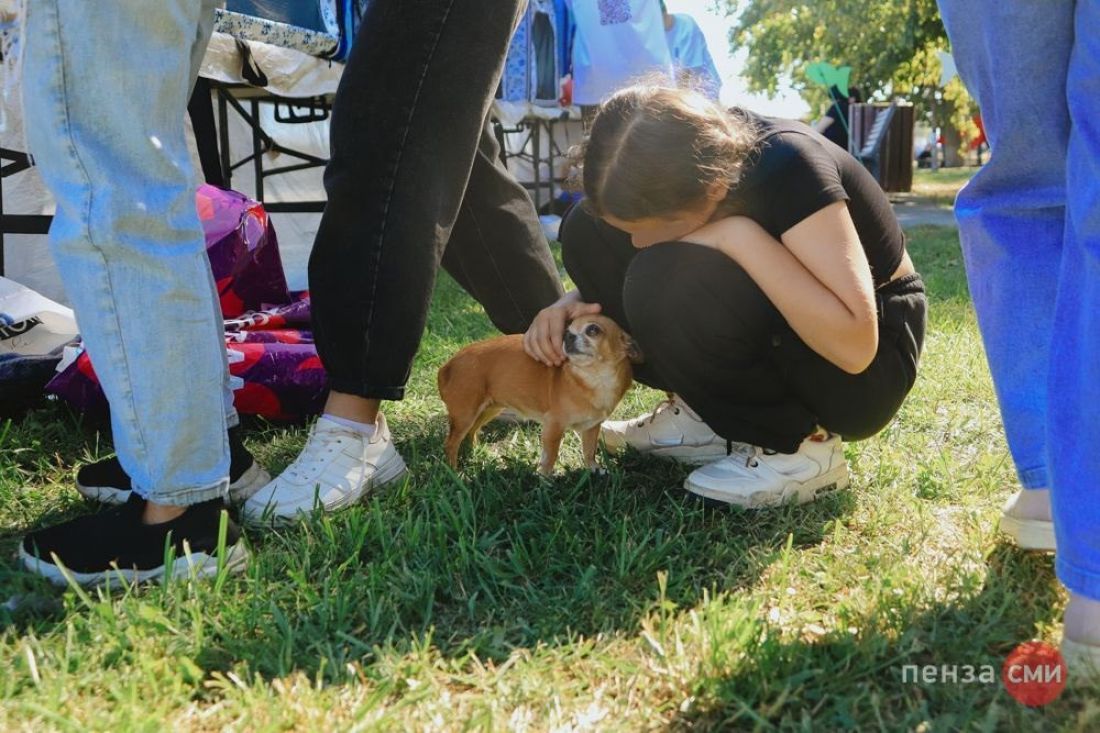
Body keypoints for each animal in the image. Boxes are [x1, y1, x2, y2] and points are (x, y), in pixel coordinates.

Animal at [438, 314, 640, 475]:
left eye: (593, 329)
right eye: (566, 330)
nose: (567, 335)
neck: (595, 378)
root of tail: (449, 364)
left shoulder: (591, 427)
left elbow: (589, 450)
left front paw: (594, 468)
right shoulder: (553, 426)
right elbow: (550, 455)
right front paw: (545, 479)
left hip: (488, 409)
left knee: (472, 431)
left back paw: (475, 451)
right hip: (466, 414)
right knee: (450, 443)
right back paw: (454, 472)